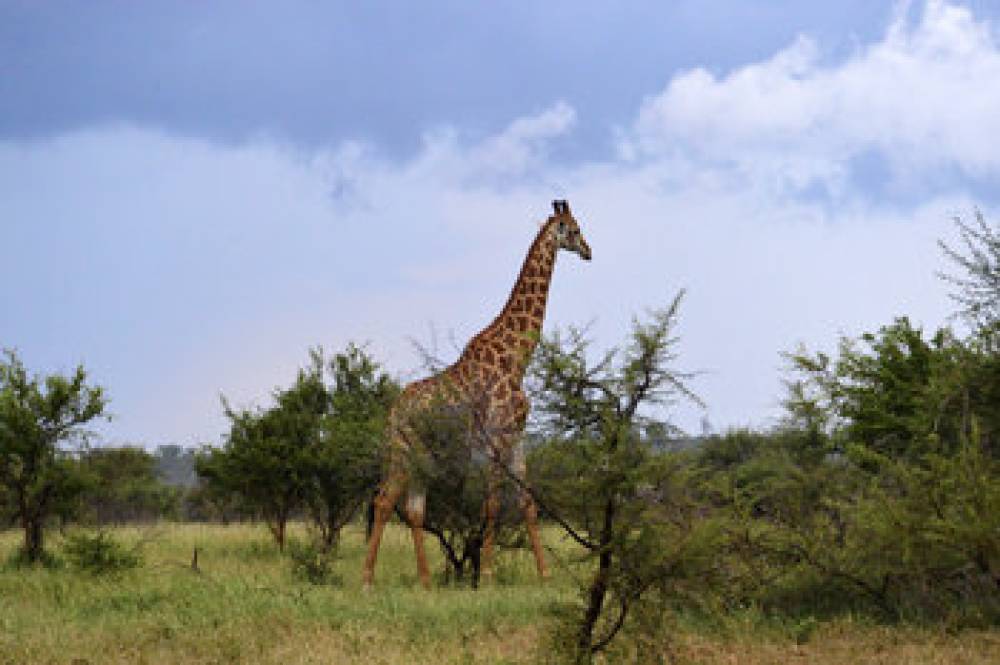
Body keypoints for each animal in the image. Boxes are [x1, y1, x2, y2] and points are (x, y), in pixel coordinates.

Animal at [364, 197, 588, 588]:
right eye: (574, 230)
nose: (590, 251)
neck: (518, 358)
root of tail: (393, 412)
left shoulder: (516, 435)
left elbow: (528, 502)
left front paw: (545, 575)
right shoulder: (497, 436)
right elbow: (494, 504)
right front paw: (487, 576)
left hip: (420, 455)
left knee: (412, 508)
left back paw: (425, 583)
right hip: (406, 451)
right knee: (385, 502)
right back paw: (367, 579)